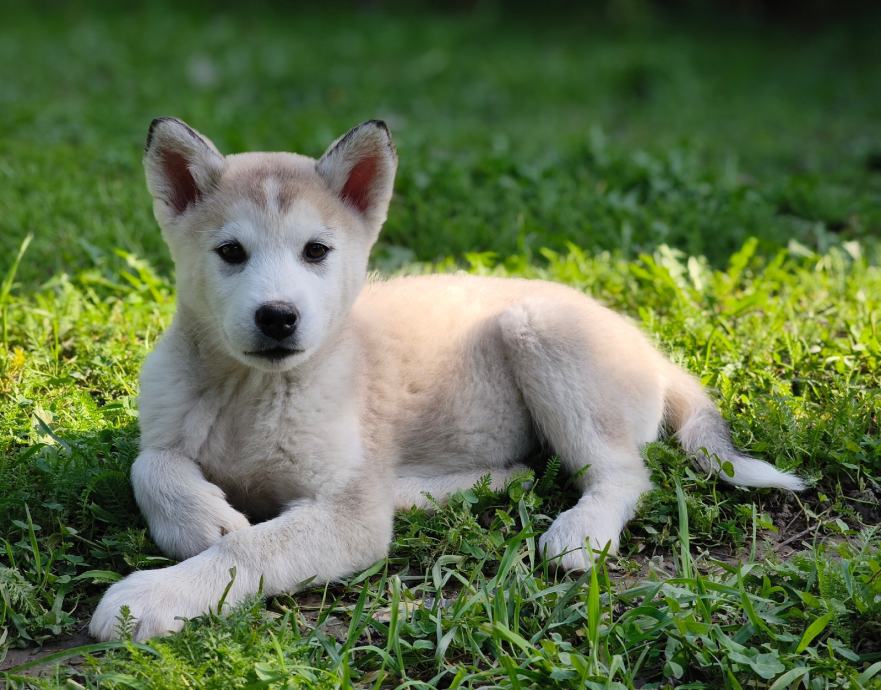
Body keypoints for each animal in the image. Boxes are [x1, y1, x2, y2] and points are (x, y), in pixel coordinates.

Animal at [89, 118, 804, 641]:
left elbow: (251, 552)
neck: (252, 392)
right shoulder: (169, 429)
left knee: (622, 473)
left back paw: (580, 533)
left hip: (542, 335)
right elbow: (152, 465)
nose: (278, 317)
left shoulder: (347, 511)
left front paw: (150, 596)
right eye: (230, 252)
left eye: (316, 251)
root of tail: (652, 352)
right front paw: (203, 519)